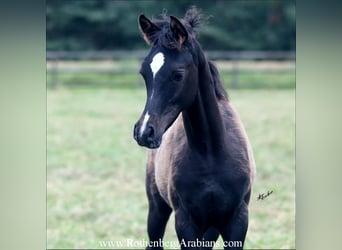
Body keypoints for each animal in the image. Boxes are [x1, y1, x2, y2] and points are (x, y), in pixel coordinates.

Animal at [132, 6, 255, 249]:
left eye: (178, 74)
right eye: (144, 73)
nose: (144, 132)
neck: (211, 153)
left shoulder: (237, 219)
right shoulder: (185, 220)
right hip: (158, 208)